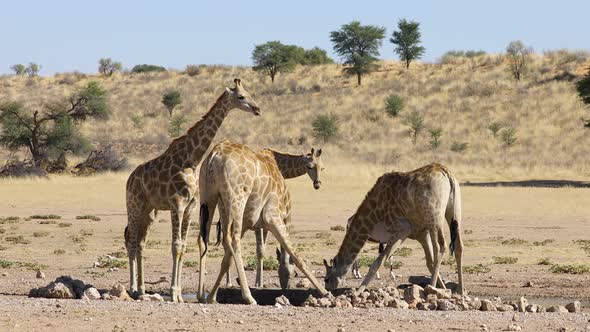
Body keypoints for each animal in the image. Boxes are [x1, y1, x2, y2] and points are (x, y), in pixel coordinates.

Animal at [123, 79, 260, 302]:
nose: (257, 109)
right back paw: (133, 288)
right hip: (133, 205)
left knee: (140, 242)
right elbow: (176, 245)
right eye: (241, 96)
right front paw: (172, 293)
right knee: (132, 240)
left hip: (148, 211)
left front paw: (178, 294)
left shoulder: (190, 207)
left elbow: (183, 247)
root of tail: (129, 179)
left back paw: (142, 289)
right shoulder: (176, 204)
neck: (192, 158)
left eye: (249, 93)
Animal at [199, 140, 328, 304]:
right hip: (237, 198)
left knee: (205, 238)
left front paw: (212, 296)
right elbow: (294, 254)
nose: (318, 184)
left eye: (322, 168)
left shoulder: (250, 221)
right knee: (233, 240)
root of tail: (215, 154)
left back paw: (201, 294)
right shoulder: (272, 216)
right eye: (310, 166)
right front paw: (324, 292)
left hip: (209, 196)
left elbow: (227, 258)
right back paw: (249, 297)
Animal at [324, 163, 468, 296]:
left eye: (326, 279)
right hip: (454, 211)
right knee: (458, 246)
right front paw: (445, 289)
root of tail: (446, 172)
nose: (327, 290)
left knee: (440, 246)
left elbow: (377, 262)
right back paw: (461, 291)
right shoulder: (420, 233)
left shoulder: (402, 230)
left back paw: (431, 288)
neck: (375, 213)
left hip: (434, 217)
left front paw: (358, 291)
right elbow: (429, 262)